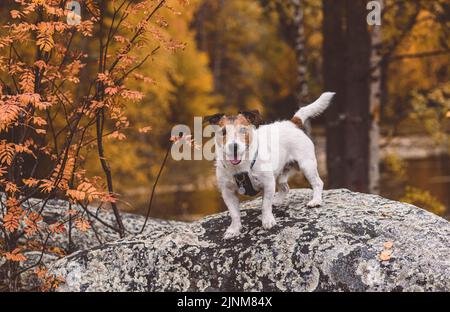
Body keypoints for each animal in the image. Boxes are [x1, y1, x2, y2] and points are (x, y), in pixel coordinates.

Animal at [206, 91, 336, 238]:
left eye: (243, 130)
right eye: (223, 132)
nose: (233, 146)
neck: (240, 167)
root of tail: (291, 123)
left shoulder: (268, 184)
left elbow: (265, 206)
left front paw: (267, 220)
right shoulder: (228, 192)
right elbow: (234, 213)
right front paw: (234, 229)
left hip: (307, 165)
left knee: (318, 183)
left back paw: (316, 201)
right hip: (281, 172)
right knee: (285, 187)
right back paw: (278, 200)